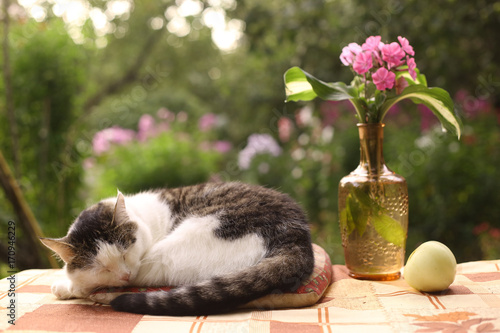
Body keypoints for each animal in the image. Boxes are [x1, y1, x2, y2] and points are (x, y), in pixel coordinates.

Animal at [44, 182, 316, 314]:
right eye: (102, 267)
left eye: (125, 253)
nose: (124, 275)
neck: (140, 215)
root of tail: (295, 232)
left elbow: (80, 284)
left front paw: (63, 285)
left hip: (168, 253)